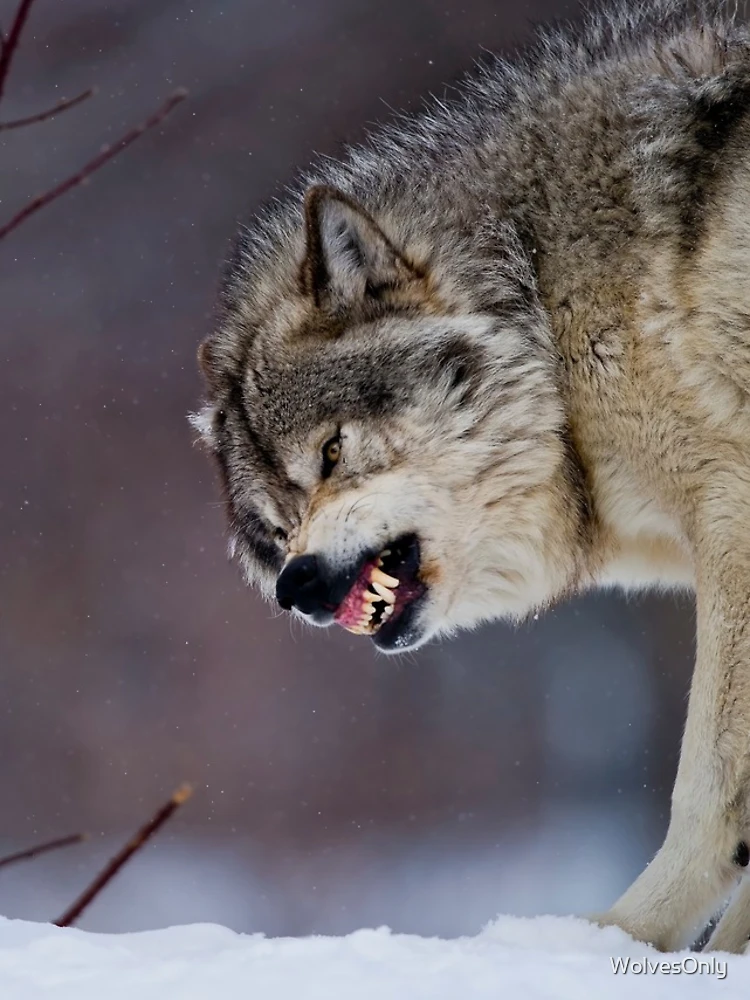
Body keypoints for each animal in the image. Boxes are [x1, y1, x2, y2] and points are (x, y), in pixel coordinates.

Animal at [193, 0, 750, 954]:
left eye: (331, 455)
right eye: (278, 522)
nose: (296, 587)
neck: (546, 296)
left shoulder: (732, 518)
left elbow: (705, 784)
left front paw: (613, 940)